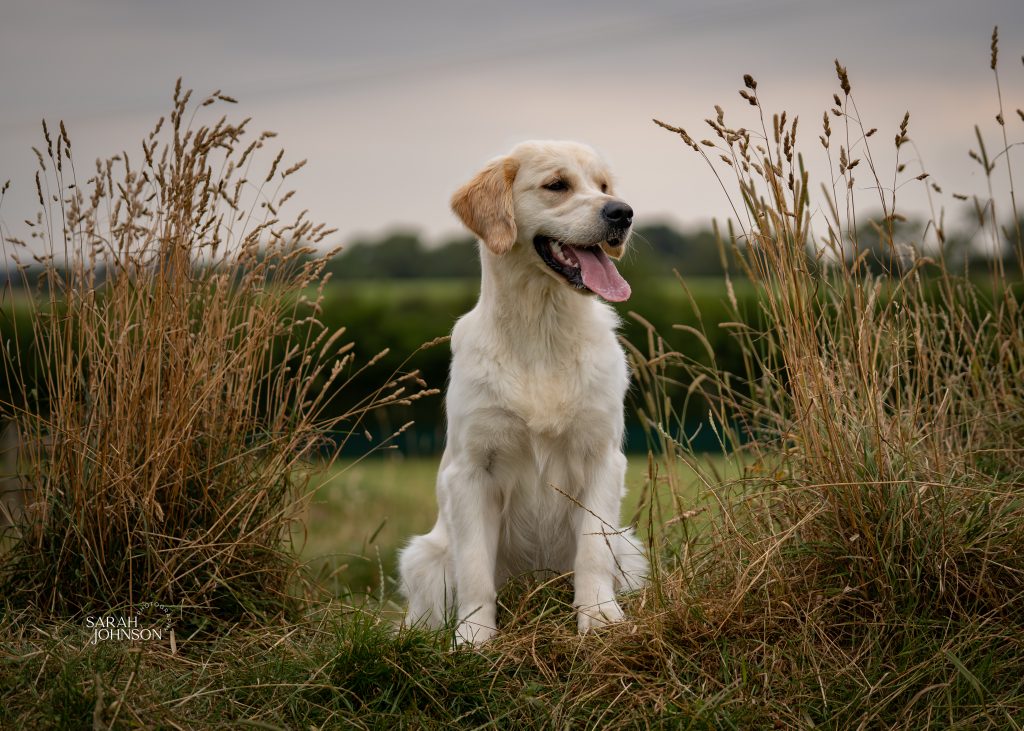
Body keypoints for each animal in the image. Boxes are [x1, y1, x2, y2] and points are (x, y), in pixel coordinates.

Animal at [395, 139, 643, 638]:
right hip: (423, 558)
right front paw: (473, 636)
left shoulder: (602, 457)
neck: (542, 329)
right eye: (556, 185)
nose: (622, 212)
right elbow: (475, 569)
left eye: (604, 185)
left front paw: (597, 616)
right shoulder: (472, 470)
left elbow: (592, 550)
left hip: (628, 547)